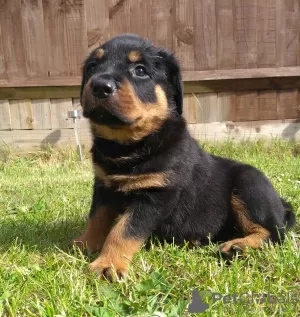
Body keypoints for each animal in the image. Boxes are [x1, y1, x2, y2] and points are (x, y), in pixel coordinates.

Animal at [74, 34, 296, 280]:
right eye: (92, 67)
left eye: (140, 70)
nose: (100, 86)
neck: (128, 146)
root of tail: (281, 204)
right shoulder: (103, 186)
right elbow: (97, 218)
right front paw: (84, 244)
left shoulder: (156, 193)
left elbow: (123, 230)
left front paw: (108, 264)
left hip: (249, 184)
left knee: (275, 233)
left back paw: (238, 246)